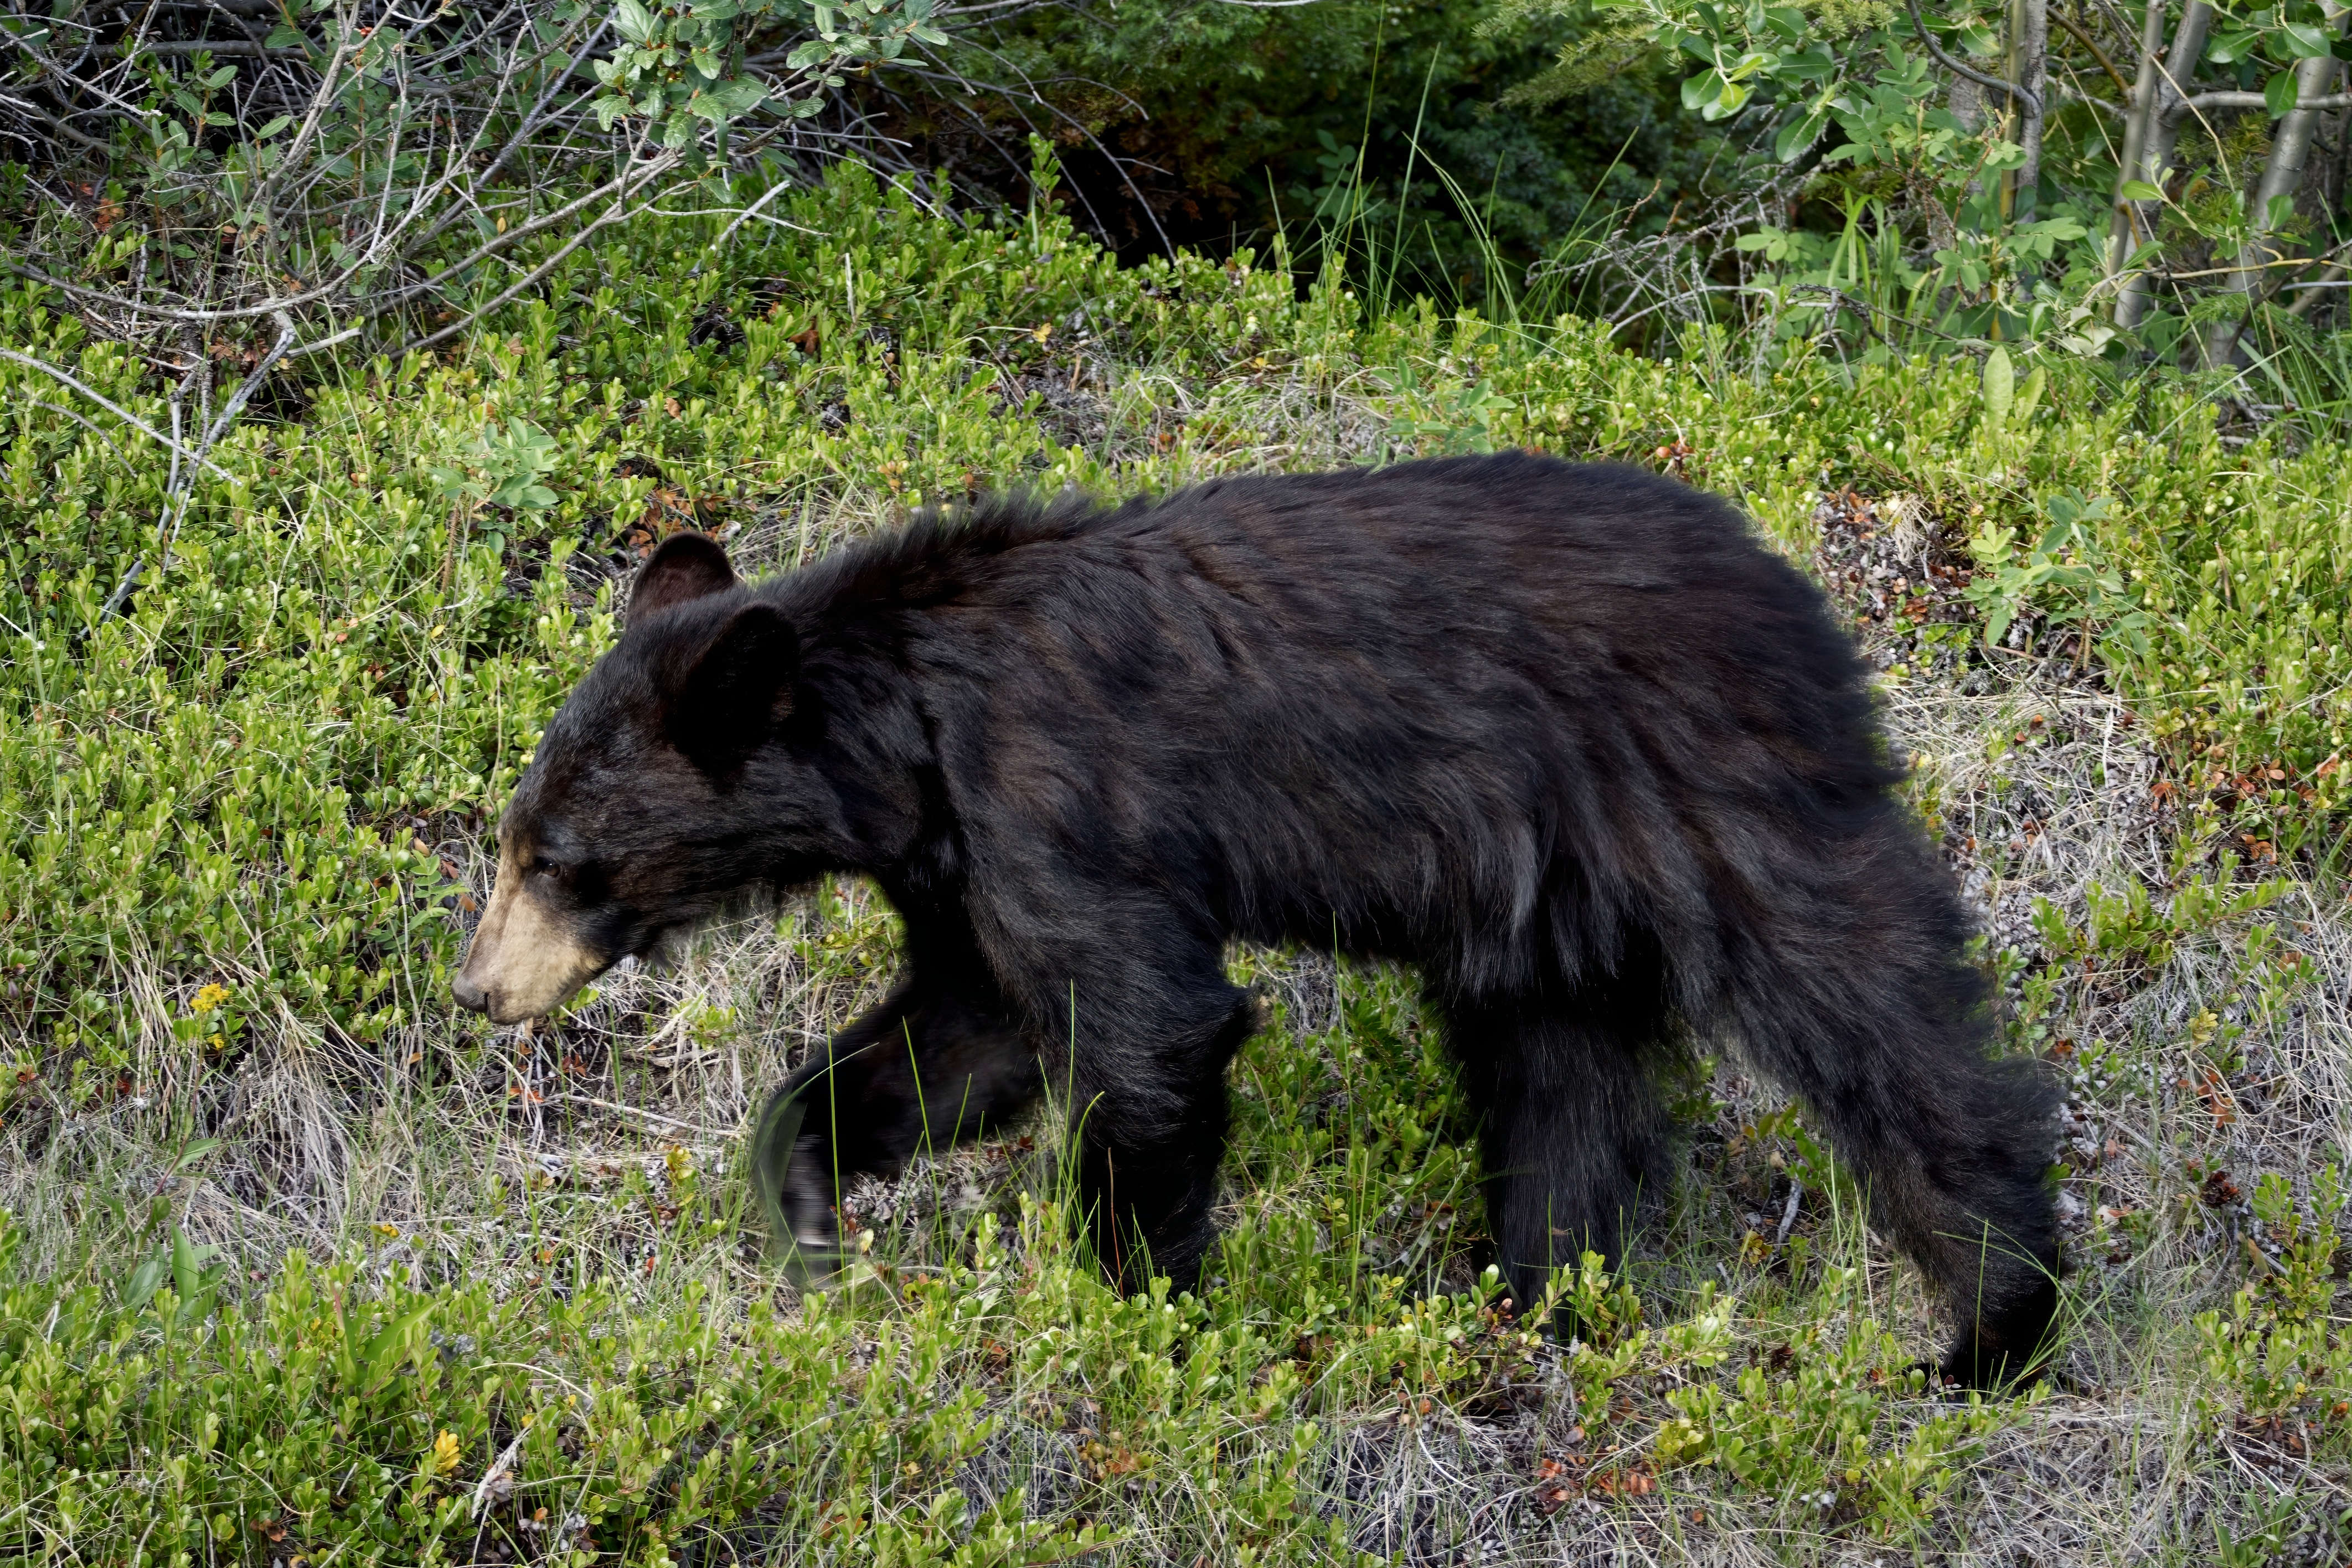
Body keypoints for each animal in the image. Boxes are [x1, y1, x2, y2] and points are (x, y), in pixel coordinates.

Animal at [452, 452, 2060, 1387]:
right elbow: (969, 1030)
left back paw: (1992, 1319)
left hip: (1709, 792)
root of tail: (1800, 591)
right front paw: (805, 1203)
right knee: (1561, 1078)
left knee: (1868, 1008)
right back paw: (1533, 1297)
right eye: (516, 837)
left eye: (558, 858)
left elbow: (1150, 1024)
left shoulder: (1054, 797)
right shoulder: (958, 863)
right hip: (1541, 895)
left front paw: (1140, 1313)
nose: (476, 990)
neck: (908, 724)